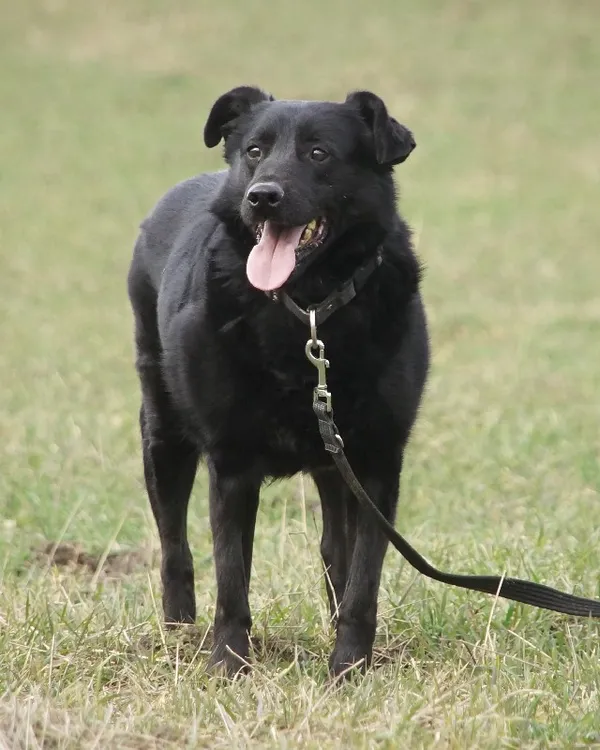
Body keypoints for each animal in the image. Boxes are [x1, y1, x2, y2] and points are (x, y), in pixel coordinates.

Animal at [127, 85, 432, 680]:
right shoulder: (230, 465)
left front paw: (349, 667)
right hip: (163, 434)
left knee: (335, 550)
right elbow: (231, 580)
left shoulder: (376, 463)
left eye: (318, 153)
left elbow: (362, 581)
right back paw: (178, 633)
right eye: (254, 151)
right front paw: (227, 666)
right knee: (175, 546)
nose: (261, 197)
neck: (308, 308)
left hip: (335, 463)